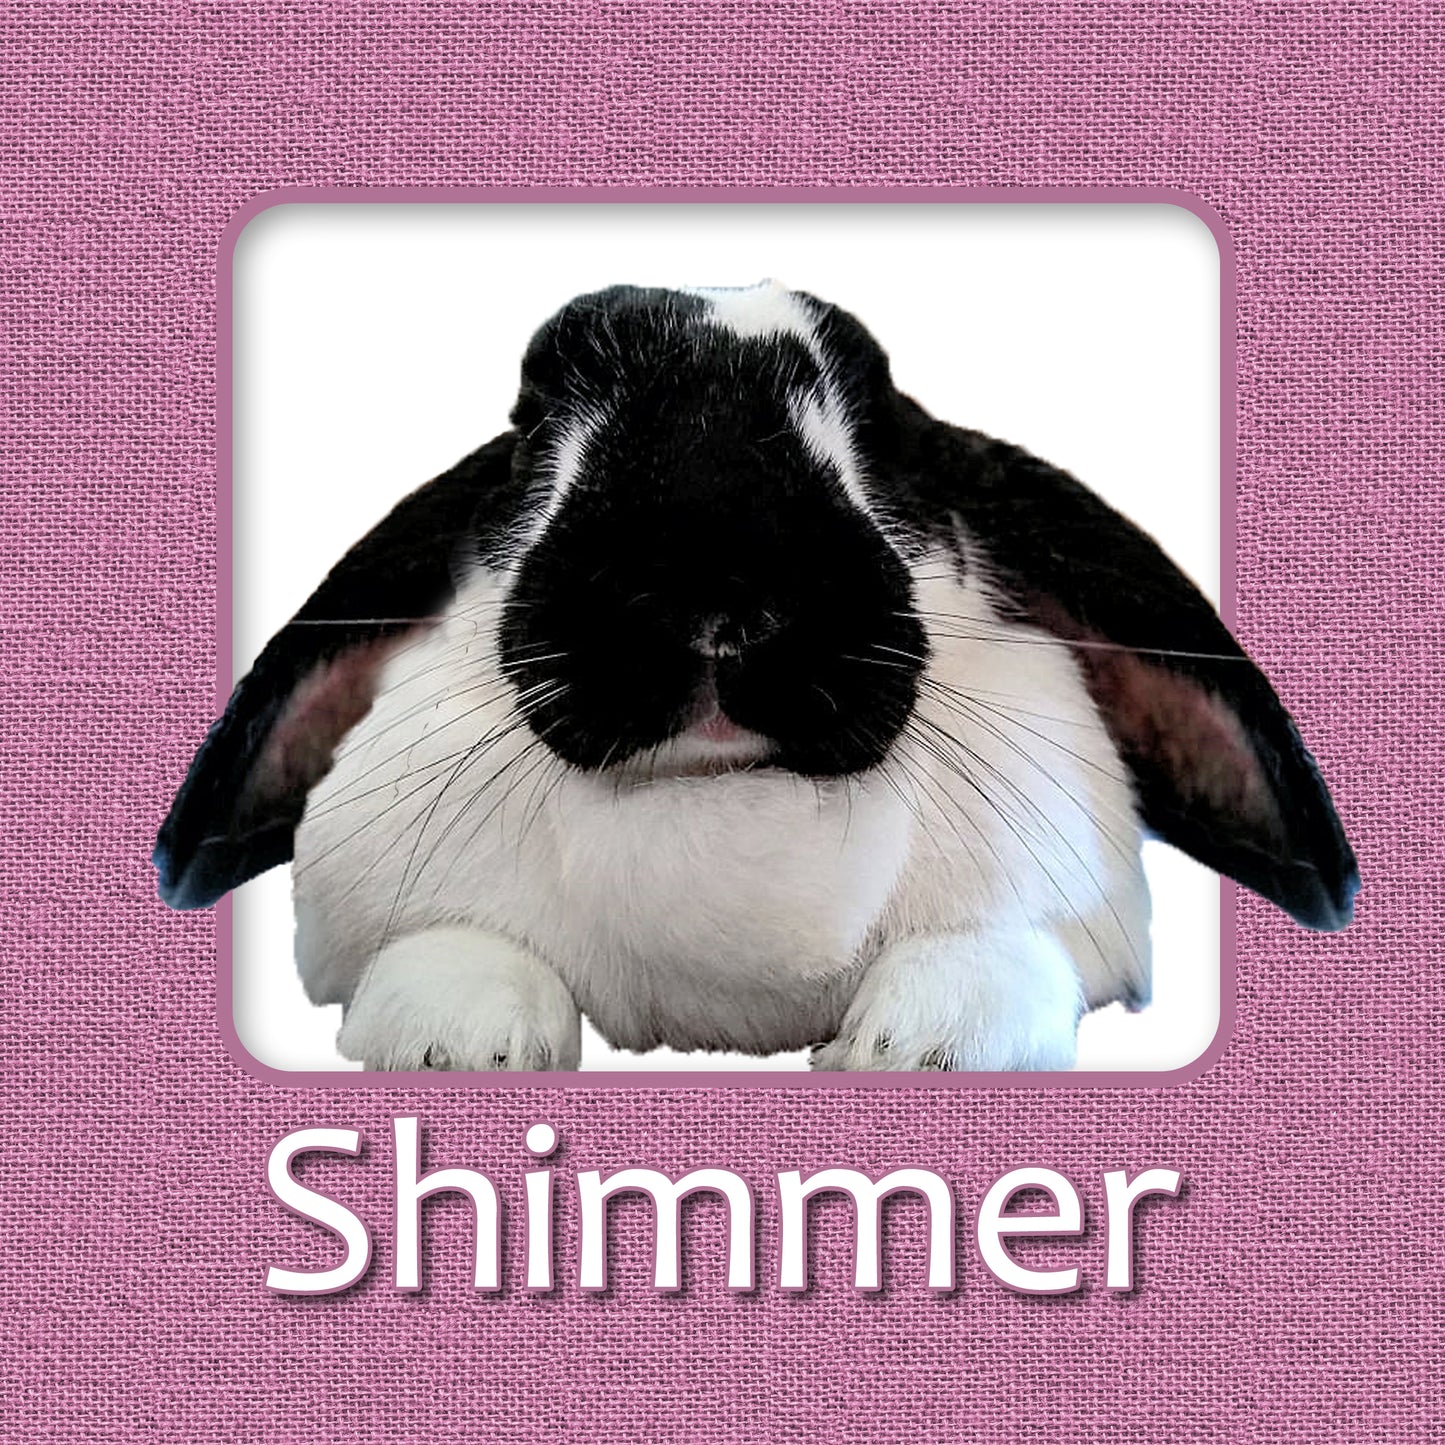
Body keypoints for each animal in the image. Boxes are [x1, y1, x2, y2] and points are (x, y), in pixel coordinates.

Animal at [155, 280, 1358, 1072]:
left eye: (874, 420)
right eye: (531, 421)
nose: (715, 593)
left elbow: (995, 964)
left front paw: (907, 1047)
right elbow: (440, 959)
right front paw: (464, 1041)